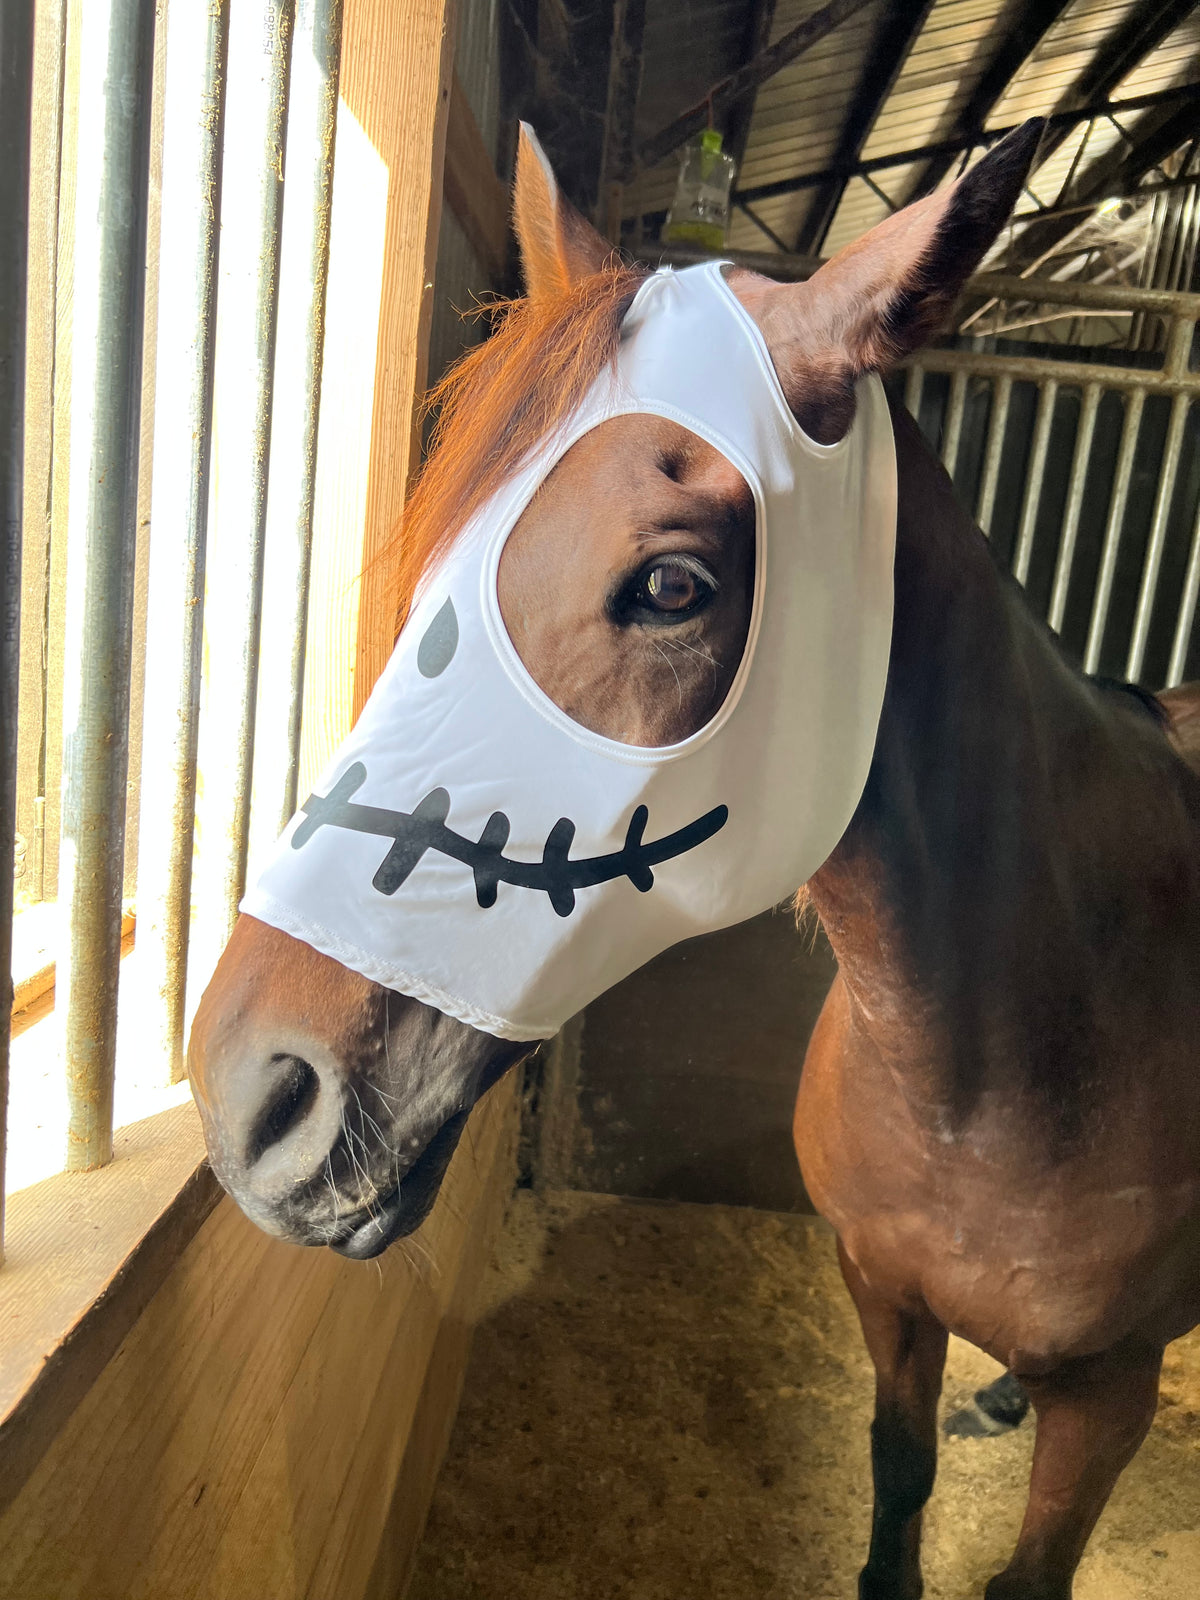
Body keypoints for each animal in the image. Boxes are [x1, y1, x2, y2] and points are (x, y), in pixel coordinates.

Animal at [188, 120, 1200, 1600]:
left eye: (671, 586)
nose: (251, 1097)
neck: (1024, 1052)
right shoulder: (882, 1294)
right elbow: (900, 1481)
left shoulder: (1114, 1394)